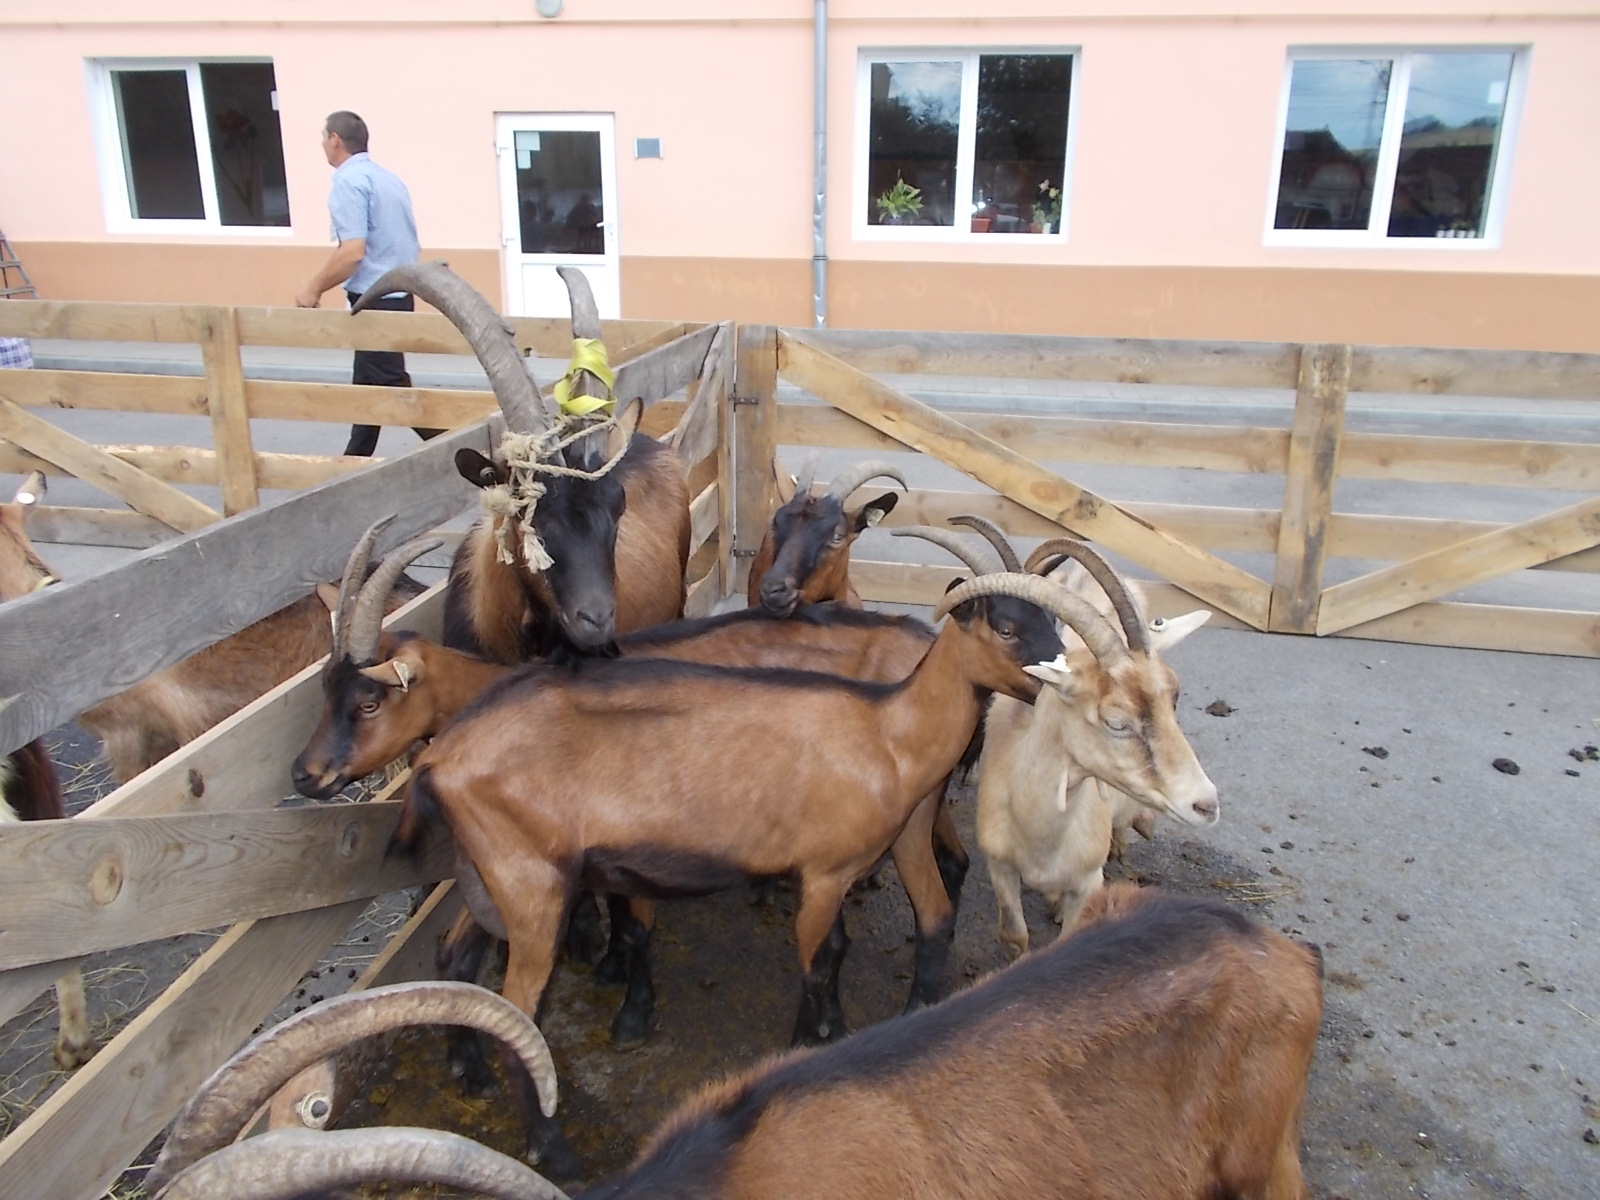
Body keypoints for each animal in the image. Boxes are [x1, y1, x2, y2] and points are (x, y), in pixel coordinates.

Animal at [977, 535, 1217, 956]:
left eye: (1174, 698)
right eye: (1116, 721)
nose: (1207, 804)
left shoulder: (1088, 882)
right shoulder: (999, 866)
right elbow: (1014, 935)